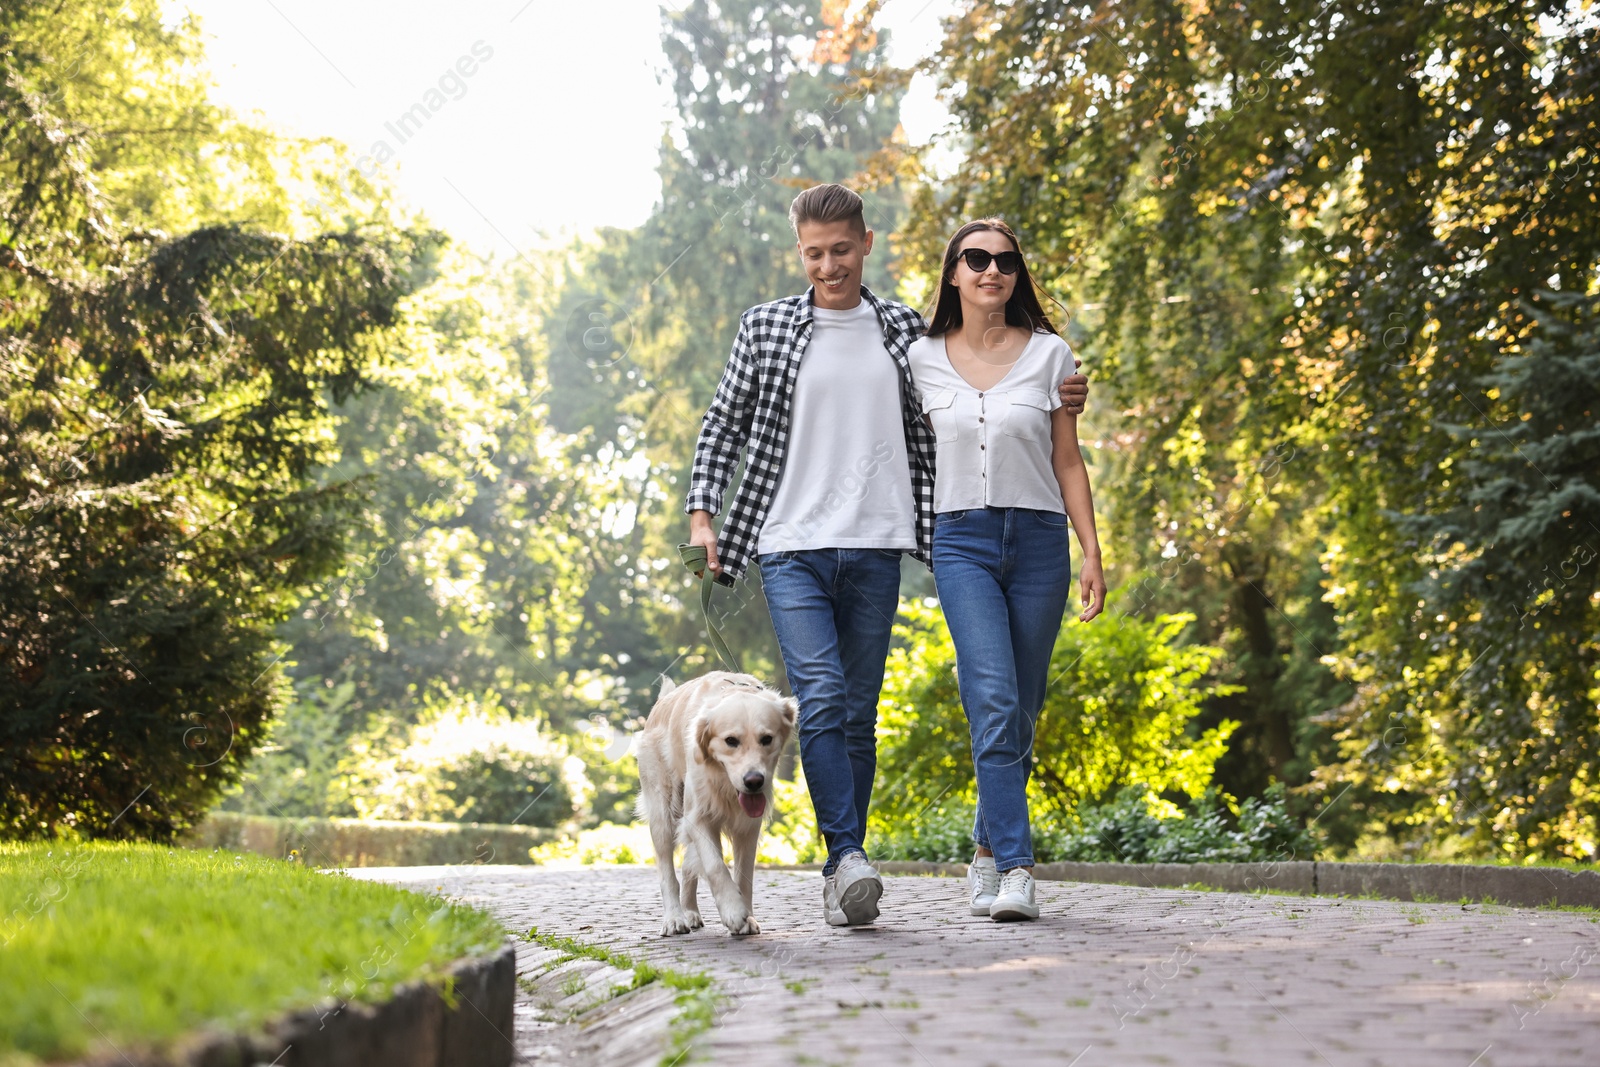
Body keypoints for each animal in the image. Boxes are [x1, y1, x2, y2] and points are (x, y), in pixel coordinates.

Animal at [630, 675, 793, 934]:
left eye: (767, 739)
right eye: (730, 741)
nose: (754, 781)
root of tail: (663, 699)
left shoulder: (748, 826)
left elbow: (744, 874)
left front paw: (747, 918)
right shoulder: (697, 816)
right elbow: (715, 866)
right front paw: (733, 911)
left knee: (688, 868)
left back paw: (690, 912)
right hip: (662, 813)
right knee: (668, 872)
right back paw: (674, 918)